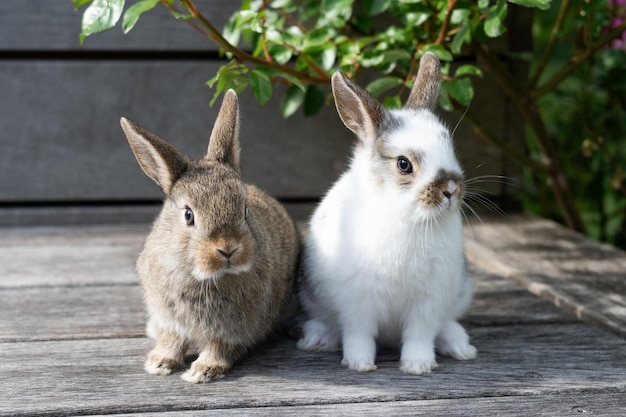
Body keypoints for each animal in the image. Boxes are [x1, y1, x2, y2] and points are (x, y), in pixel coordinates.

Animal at [121, 89, 300, 382]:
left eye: (244, 209)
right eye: (188, 215)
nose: (228, 249)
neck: (205, 277)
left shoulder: (234, 330)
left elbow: (219, 347)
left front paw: (202, 371)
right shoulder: (169, 319)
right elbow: (171, 340)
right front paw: (159, 363)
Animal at [296, 52, 472, 374]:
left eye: (450, 148)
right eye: (404, 164)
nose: (451, 189)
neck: (407, 217)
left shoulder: (428, 301)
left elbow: (419, 335)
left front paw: (417, 366)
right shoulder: (358, 301)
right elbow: (359, 334)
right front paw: (359, 364)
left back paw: (459, 346)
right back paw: (317, 339)